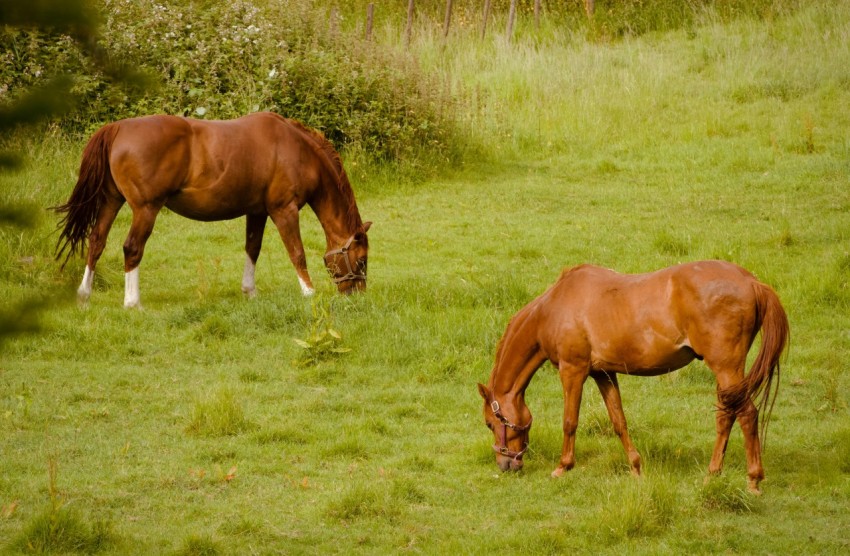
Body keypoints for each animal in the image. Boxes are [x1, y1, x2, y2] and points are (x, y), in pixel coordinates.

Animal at [53, 110, 370, 306]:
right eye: (362, 260)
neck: (296, 149)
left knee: (96, 241)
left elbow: (252, 249)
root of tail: (117, 128)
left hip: (111, 201)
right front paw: (309, 293)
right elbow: (297, 253)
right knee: (132, 248)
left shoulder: (257, 211)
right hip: (146, 209)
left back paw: (84, 295)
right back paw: (133, 303)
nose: (356, 295)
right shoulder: (284, 210)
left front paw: (250, 292)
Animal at [476, 258, 788, 494]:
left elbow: (569, 421)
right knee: (727, 414)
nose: (506, 465)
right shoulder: (603, 373)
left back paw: (752, 480)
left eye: (491, 423)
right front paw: (636, 468)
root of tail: (751, 282)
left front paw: (563, 467)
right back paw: (714, 473)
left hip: (725, 367)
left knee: (745, 414)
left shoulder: (572, 370)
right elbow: (619, 421)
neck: (553, 308)